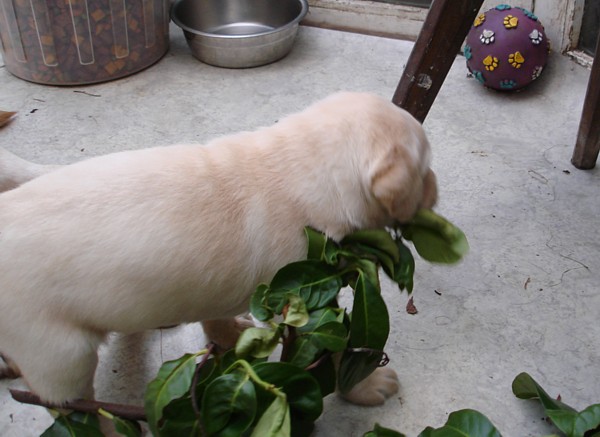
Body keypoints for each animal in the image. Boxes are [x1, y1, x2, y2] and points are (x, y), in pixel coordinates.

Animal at [0, 91, 436, 406]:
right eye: (424, 167)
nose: (436, 190)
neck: (296, 163)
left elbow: (213, 314)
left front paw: (227, 333)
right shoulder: (305, 302)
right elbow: (333, 349)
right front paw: (366, 384)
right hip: (62, 354)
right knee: (70, 402)